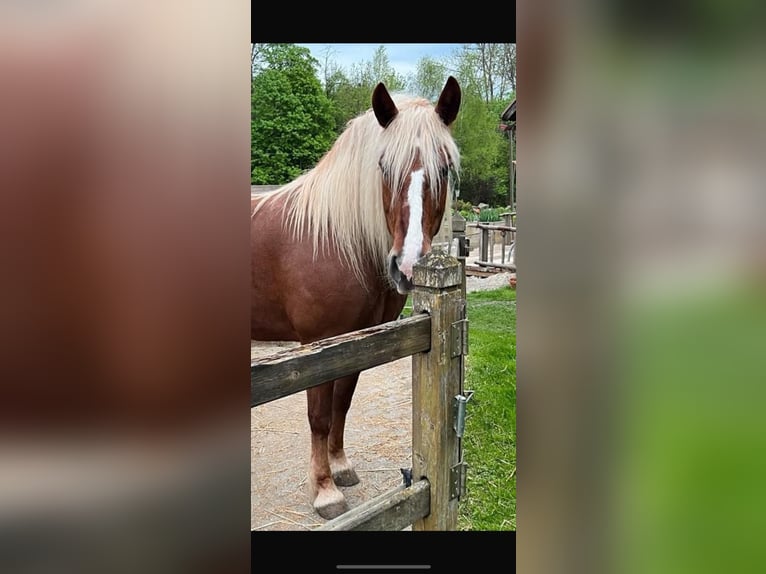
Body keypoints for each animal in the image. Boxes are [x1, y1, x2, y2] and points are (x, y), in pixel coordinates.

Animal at [251, 76, 461, 520]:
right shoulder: (315, 346)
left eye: (444, 169)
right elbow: (318, 416)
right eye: (383, 167)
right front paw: (325, 492)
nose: (408, 266)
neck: (334, 238)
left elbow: (341, 406)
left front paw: (341, 468)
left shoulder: (358, 342)